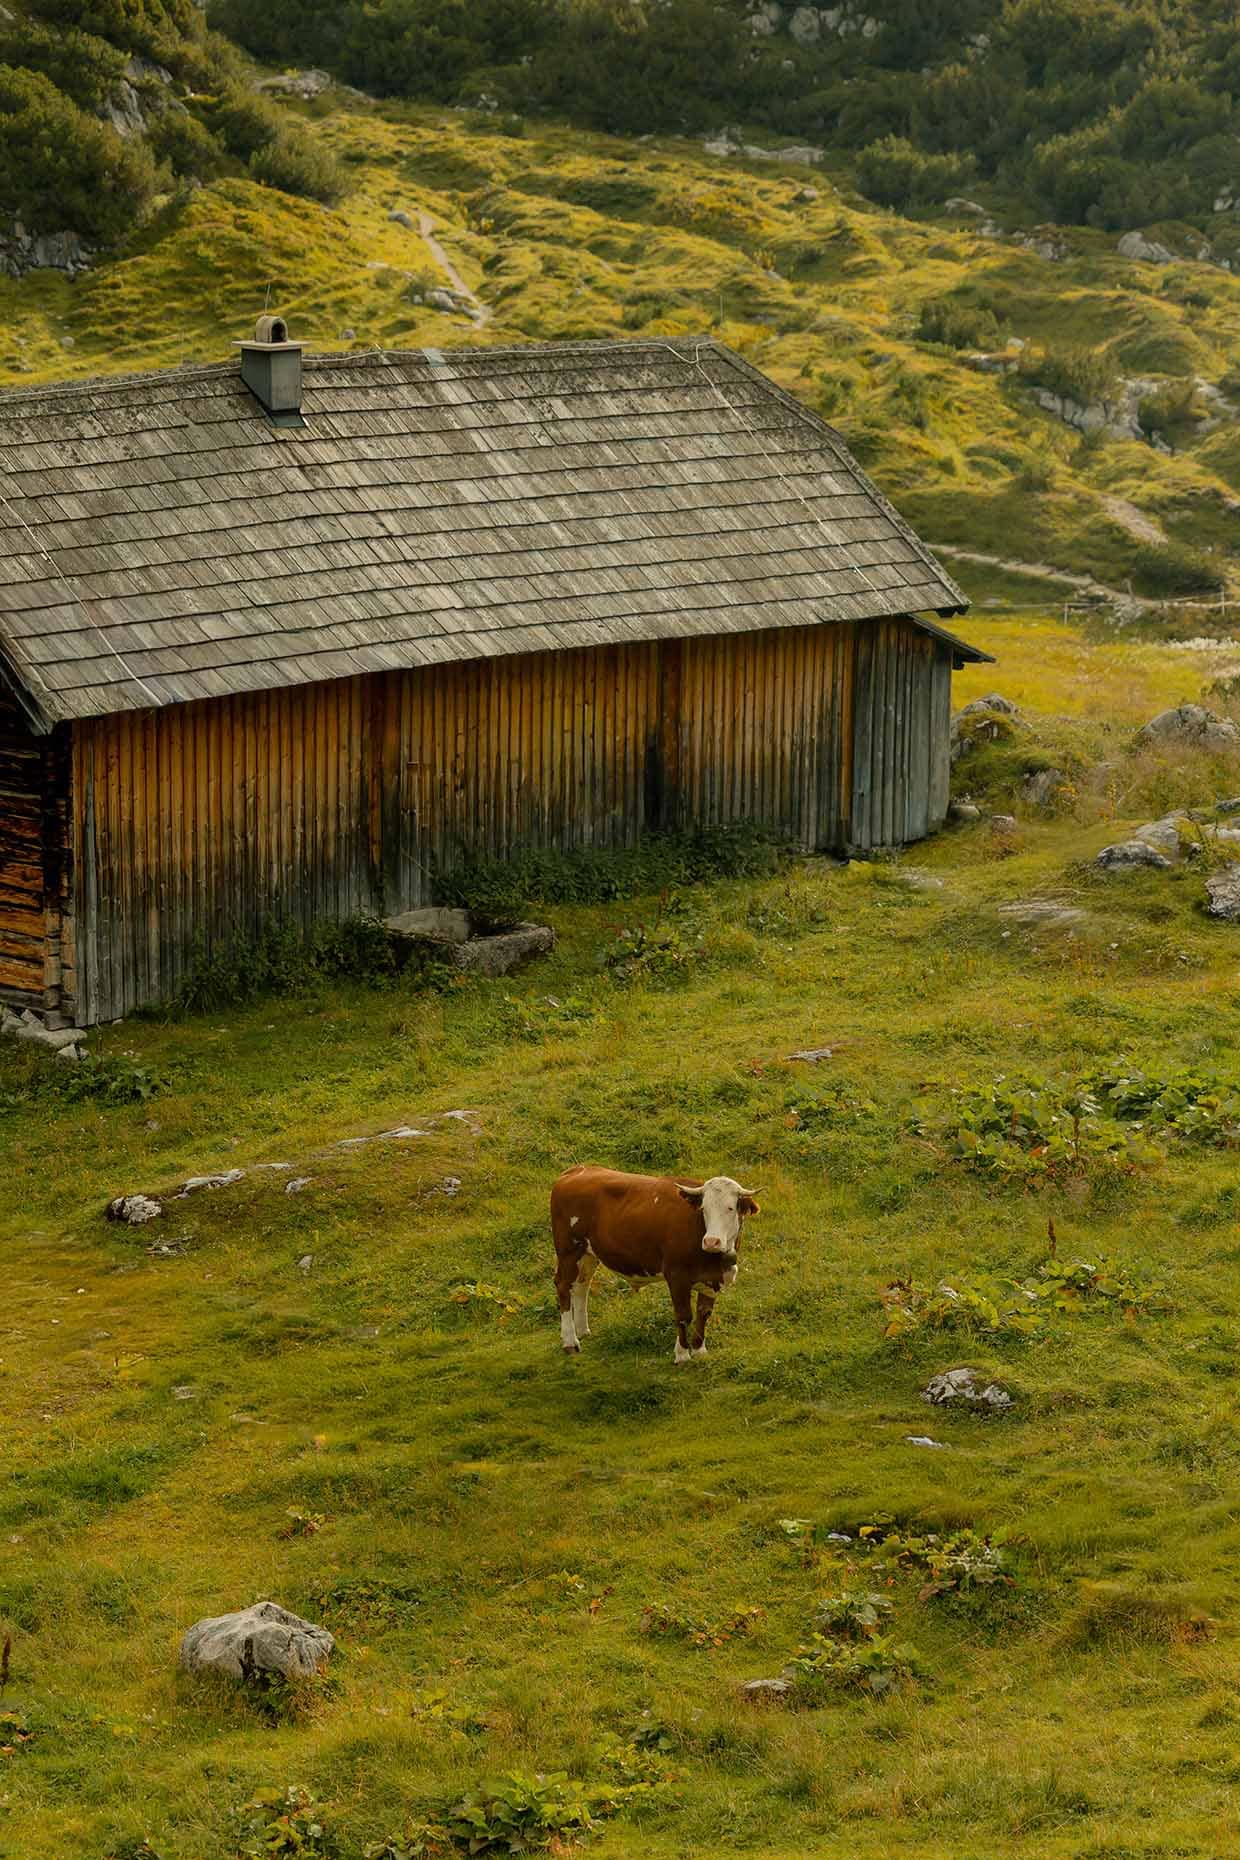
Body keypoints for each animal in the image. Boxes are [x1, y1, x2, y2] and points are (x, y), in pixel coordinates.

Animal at [550, 1166, 760, 1364]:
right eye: (704, 1209)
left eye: (730, 1208)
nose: (711, 1241)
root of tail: (577, 1170)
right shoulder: (676, 1276)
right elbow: (684, 1316)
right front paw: (682, 1355)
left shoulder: (712, 1278)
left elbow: (704, 1313)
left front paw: (700, 1351)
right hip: (569, 1250)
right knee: (563, 1286)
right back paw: (570, 1342)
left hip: (588, 1253)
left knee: (581, 1285)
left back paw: (582, 1330)